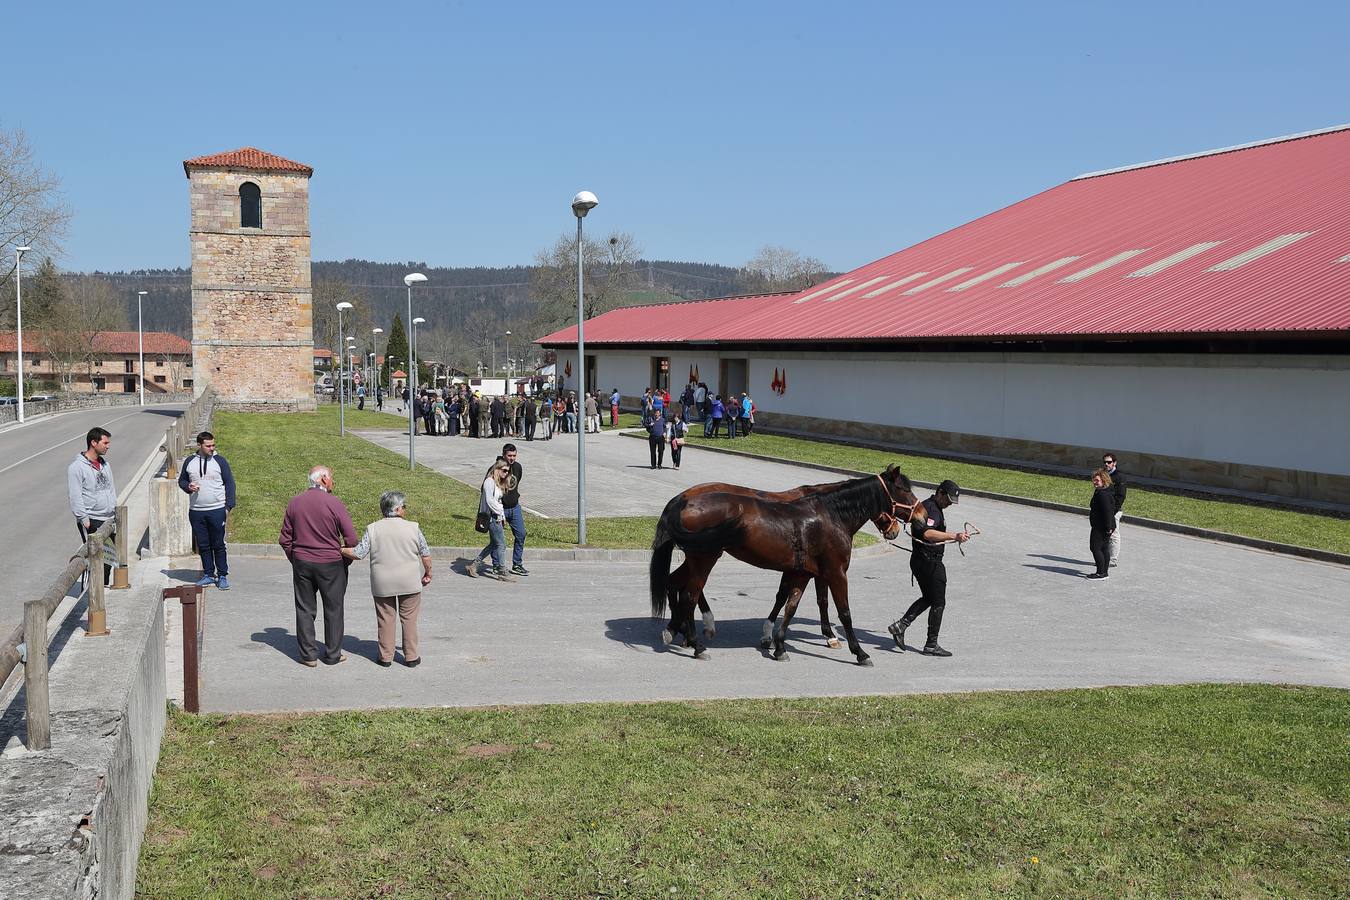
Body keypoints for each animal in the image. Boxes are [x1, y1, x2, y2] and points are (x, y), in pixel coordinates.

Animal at [650, 469, 923, 666]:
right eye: (902, 489)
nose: (920, 516)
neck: (830, 515)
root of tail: (682, 501)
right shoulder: (835, 572)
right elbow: (841, 611)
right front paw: (856, 650)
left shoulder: (802, 572)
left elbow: (789, 605)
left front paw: (778, 645)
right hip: (704, 559)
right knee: (689, 596)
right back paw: (697, 644)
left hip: (697, 559)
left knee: (674, 584)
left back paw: (678, 631)